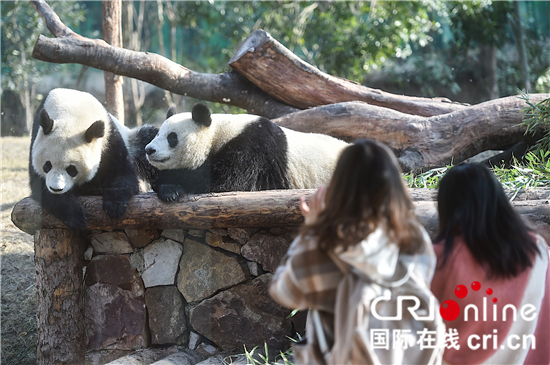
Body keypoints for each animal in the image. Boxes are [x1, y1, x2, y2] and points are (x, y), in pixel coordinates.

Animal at [29, 88, 158, 229]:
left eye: (71, 169)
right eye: (47, 165)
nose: (56, 189)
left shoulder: (110, 139)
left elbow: (123, 174)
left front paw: (114, 206)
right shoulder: (36, 135)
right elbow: (40, 186)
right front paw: (76, 216)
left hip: (134, 141)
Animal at [146, 101, 350, 202]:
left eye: (172, 137)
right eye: (158, 133)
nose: (149, 149)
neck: (218, 132)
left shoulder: (252, 146)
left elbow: (227, 180)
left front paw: (167, 183)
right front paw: (169, 190)